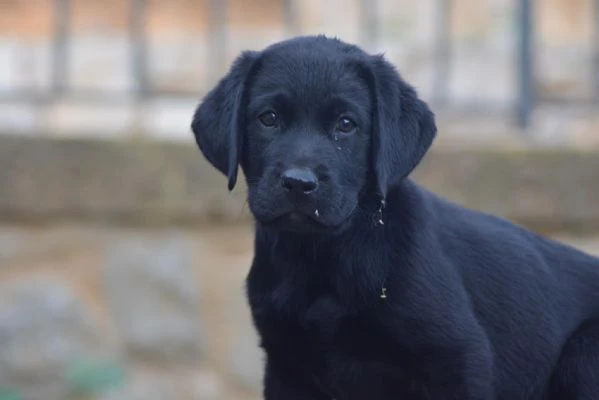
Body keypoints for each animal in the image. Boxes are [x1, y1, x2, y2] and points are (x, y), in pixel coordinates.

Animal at [191, 36, 599, 398]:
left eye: (346, 124)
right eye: (268, 118)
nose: (298, 183)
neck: (322, 257)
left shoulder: (459, 360)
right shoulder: (287, 369)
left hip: (583, 356)